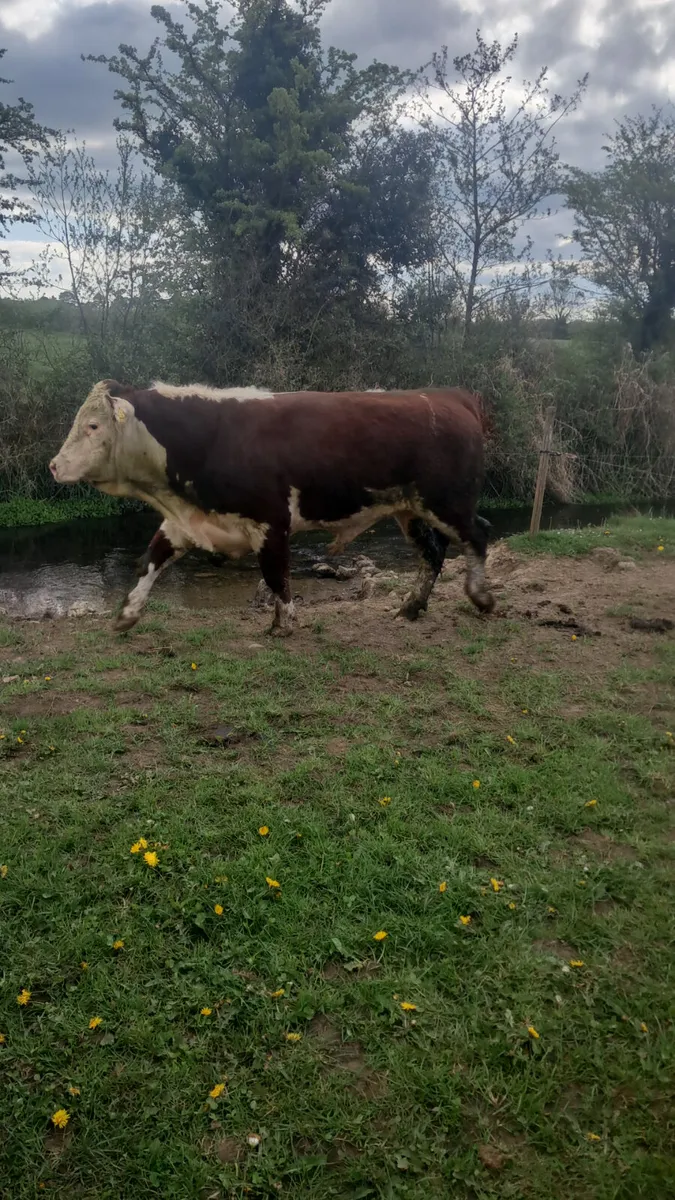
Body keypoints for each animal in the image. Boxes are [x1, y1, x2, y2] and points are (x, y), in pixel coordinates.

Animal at [49, 380, 495, 634]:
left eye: (92, 426)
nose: (53, 465)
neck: (210, 436)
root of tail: (450, 395)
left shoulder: (271, 521)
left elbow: (276, 574)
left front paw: (283, 624)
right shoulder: (183, 522)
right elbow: (149, 561)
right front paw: (127, 613)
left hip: (448, 502)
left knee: (477, 534)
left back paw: (481, 598)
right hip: (410, 509)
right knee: (433, 554)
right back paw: (411, 607)